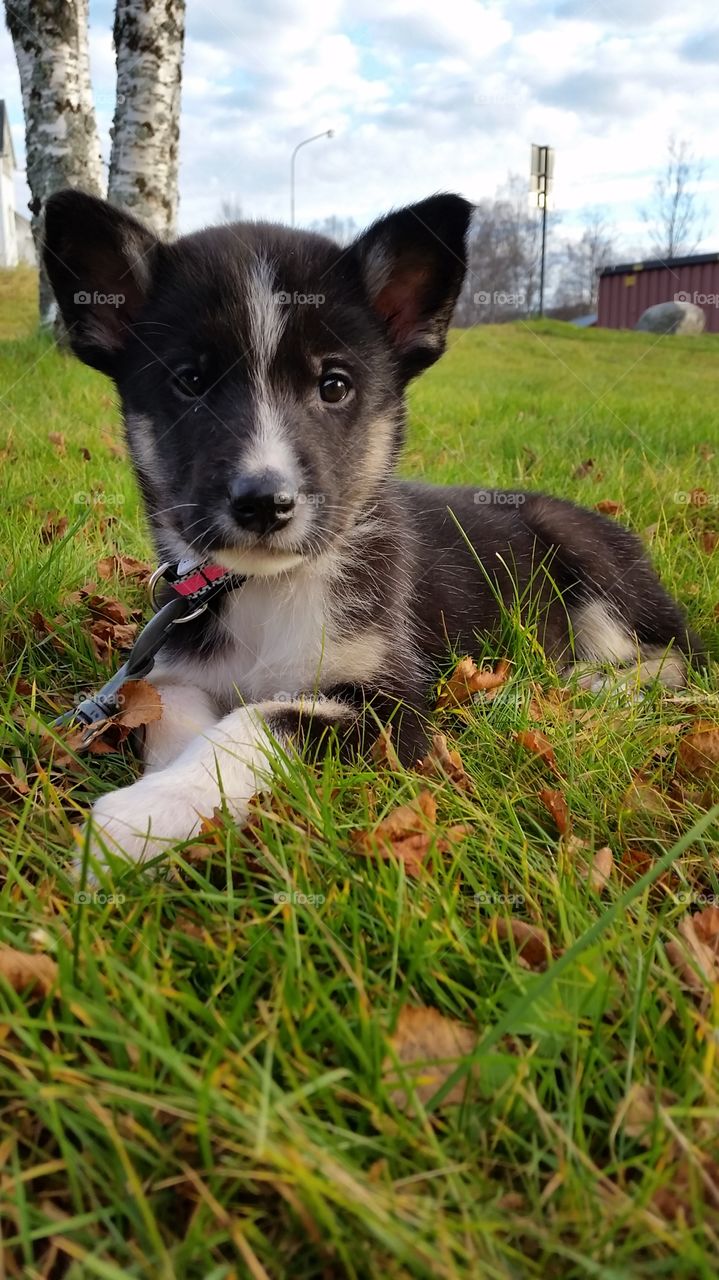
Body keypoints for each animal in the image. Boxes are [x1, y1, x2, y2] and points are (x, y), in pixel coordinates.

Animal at [43, 192, 695, 870]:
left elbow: (263, 719)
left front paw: (138, 817)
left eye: (334, 385)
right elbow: (172, 714)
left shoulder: (392, 705)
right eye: (190, 382)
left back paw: (577, 689)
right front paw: (171, 799)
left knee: (672, 660)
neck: (268, 590)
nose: (266, 503)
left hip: (588, 559)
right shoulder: (175, 670)